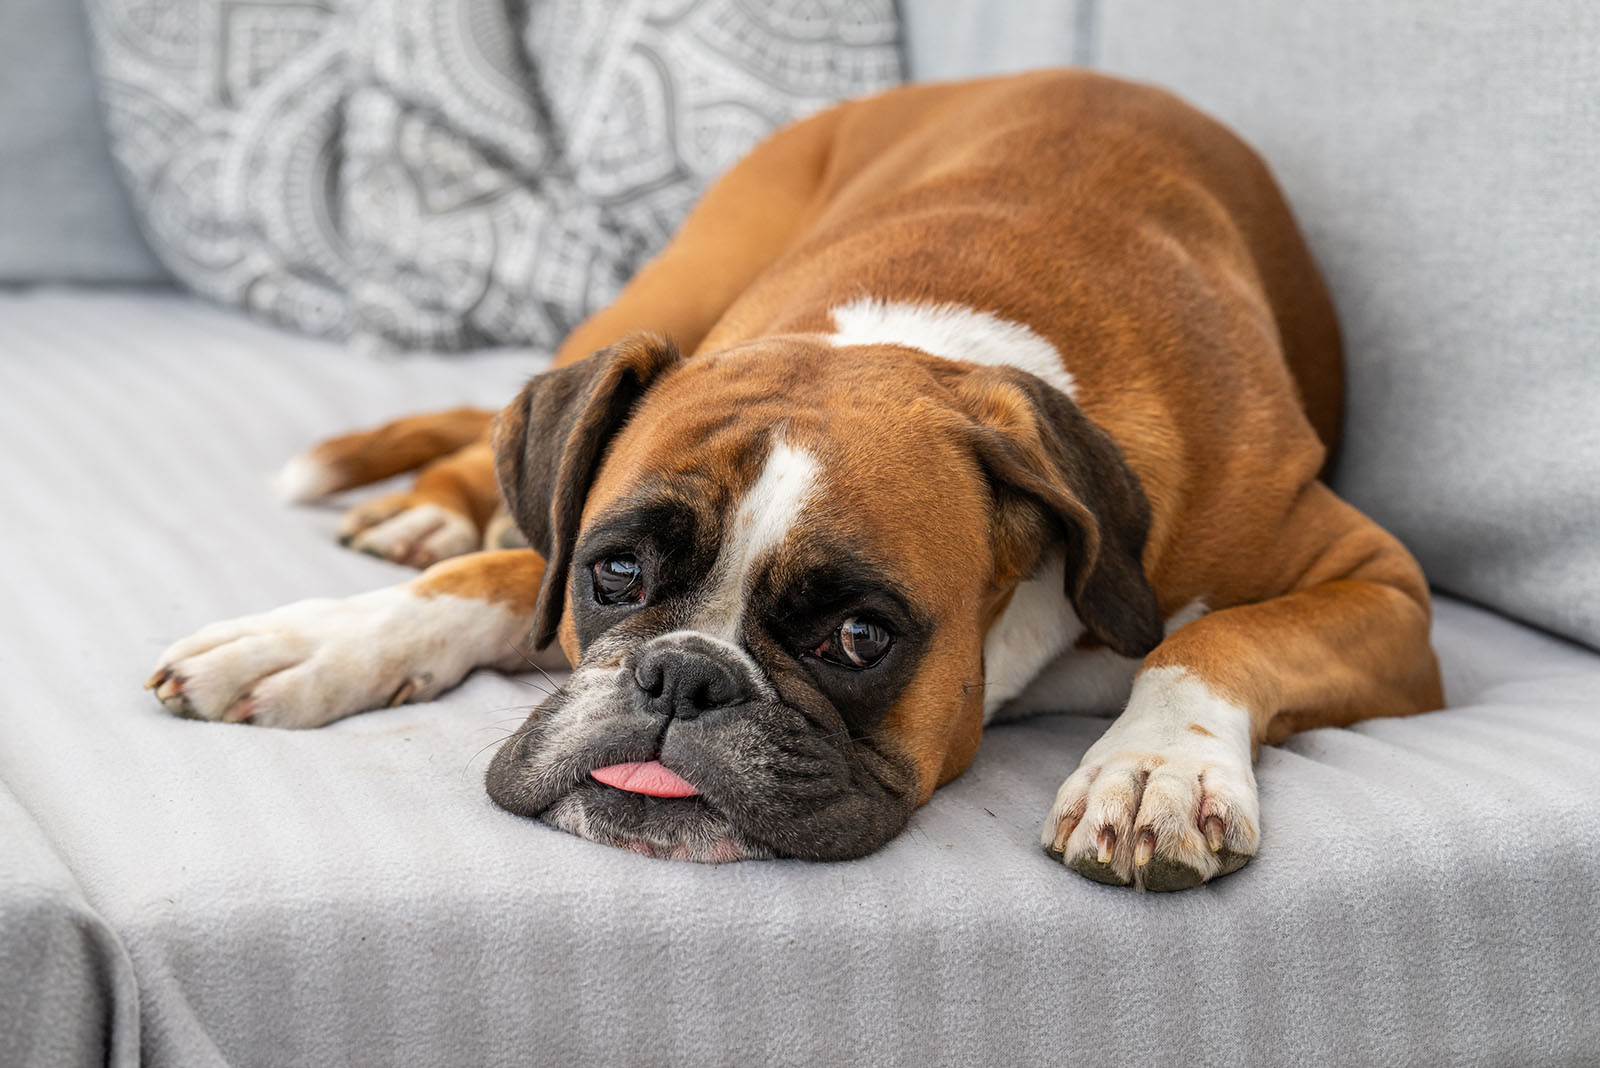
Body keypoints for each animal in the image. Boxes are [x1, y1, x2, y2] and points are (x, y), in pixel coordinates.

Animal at [147, 70, 1452, 895]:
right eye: (615, 575)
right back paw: (430, 508)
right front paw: (318, 639)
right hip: (665, 291)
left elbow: (1209, 641)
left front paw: (1152, 772)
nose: (682, 679)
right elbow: (511, 566)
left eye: (860, 638)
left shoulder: (1385, 590)